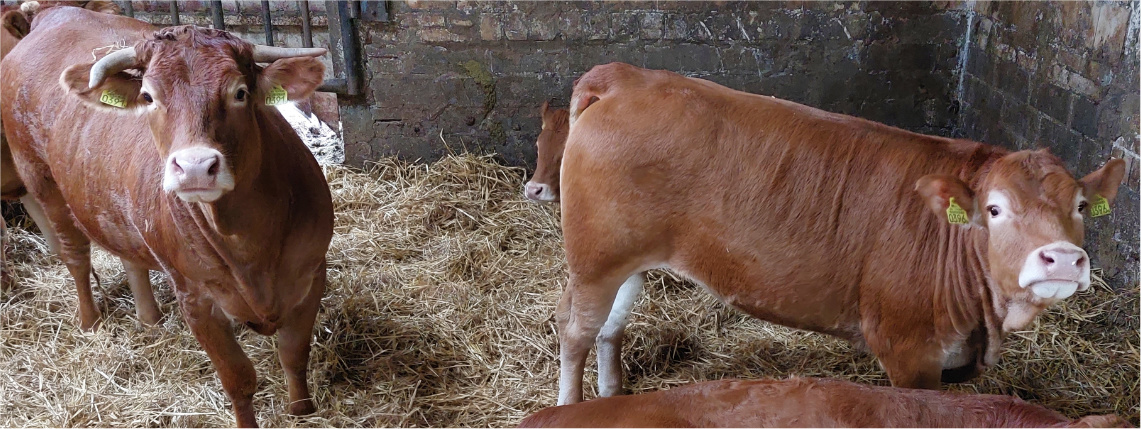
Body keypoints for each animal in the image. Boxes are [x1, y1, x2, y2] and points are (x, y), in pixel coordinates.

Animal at [2, 6, 333, 426]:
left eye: (240, 93)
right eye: (148, 96)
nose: (194, 167)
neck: (249, 243)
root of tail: (52, 13)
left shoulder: (312, 273)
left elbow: (294, 353)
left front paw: (302, 410)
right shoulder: (194, 297)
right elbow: (238, 379)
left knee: (127, 253)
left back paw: (149, 318)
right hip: (41, 180)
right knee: (74, 254)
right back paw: (91, 321)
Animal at [549, 61, 1122, 403]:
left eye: (1081, 206)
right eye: (995, 209)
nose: (1061, 258)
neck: (987, 317)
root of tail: (628, 76)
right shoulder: (908, 347)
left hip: (627, 256)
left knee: (610, 325)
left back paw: (612, 394)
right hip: (593, 259)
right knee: (575, 331)